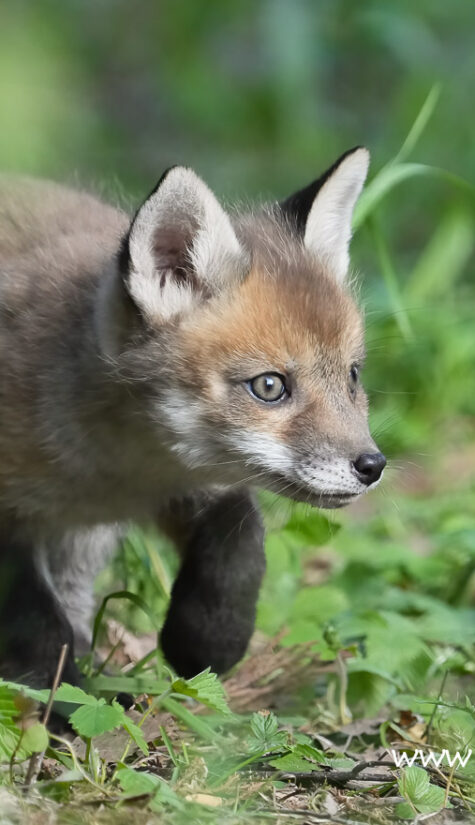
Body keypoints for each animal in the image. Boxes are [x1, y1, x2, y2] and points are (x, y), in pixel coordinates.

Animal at [0, 147, 385, 690]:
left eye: (352, 376)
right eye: (270, 386)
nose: (372, 466)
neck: (111, 475)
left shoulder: (188, 484)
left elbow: (241, 544)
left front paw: (207, 642)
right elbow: (34, 621)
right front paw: (68, 696)